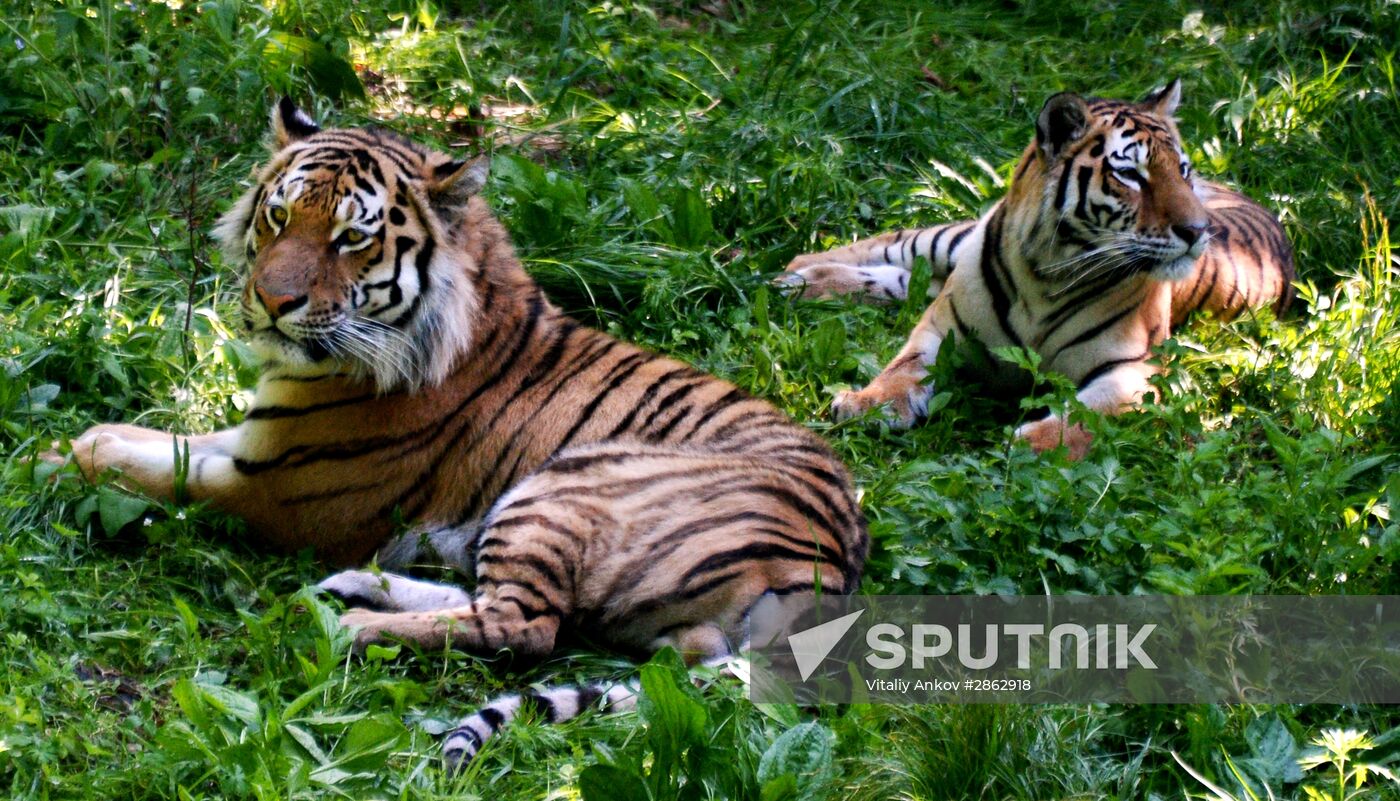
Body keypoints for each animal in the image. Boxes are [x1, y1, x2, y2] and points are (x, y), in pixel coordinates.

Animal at [51, 101, 862, 767]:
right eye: (278, 218)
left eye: (350, 238)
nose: (271, 303)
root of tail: (832, 580)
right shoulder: (259, 441)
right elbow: (160, 437)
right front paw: (81, 437)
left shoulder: (279, 488)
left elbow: (158, 468)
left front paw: (59, 460)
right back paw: (356, 587)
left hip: (566, 488)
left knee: (523, 624)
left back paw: (352, 624)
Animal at [778, 81, 1288, 459]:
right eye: (1131, 175)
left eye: (1181, 171)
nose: (1198, 231)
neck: (1051, 270)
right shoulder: (942, 327)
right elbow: (902, 367)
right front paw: (869, 404)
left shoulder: (1136, 369)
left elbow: (1084, 417)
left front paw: (1028, 444)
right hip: (953, 241)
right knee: (893, 245)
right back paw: (795, 273)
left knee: (902, 280)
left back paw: (797, 284)